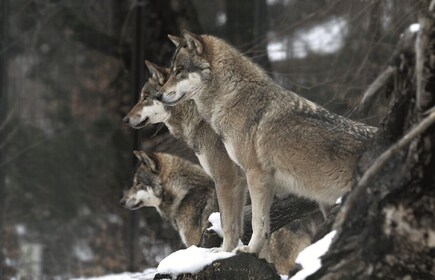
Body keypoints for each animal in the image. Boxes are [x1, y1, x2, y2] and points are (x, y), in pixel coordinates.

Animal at [156, 31, 378, 256]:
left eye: (179, 70)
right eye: (171, 71)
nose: (158, 95)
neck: (233, 98)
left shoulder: (253, 175)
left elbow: (254, 222)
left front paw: (246, 250)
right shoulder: (254, 181)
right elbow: (247, 224)